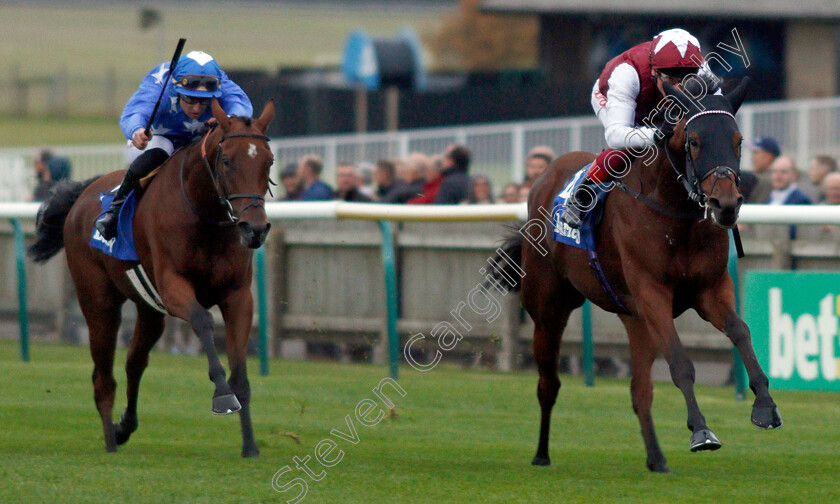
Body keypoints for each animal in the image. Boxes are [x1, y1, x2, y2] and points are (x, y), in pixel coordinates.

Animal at [28, 98, 276, 456]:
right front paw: (222, 396)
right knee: (103, 376)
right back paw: (110, 442)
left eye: (269, 161)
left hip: (148, 309)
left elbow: (240, 371)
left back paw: (124, 427)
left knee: (134, 363)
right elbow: (202, 321)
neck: (204, 216)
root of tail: (85, 193)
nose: (254, 229)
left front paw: (250, 446)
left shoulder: (238, 295)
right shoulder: (173, 287)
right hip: (98, 301)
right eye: (227, 160)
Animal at [488, 79, 784, 472]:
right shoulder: (652, 293)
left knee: (639, 390)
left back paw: (656, 458)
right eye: (694, 141)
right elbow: (680, 362)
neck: (676, 212)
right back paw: (541, 454)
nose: (726, 204)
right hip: (548, 309)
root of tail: (543, 179)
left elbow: (740, 331)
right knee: (548, 384)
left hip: (635, 321)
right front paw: (701, 431)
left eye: (738, 140)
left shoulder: (710, 288)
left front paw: (765, 406)